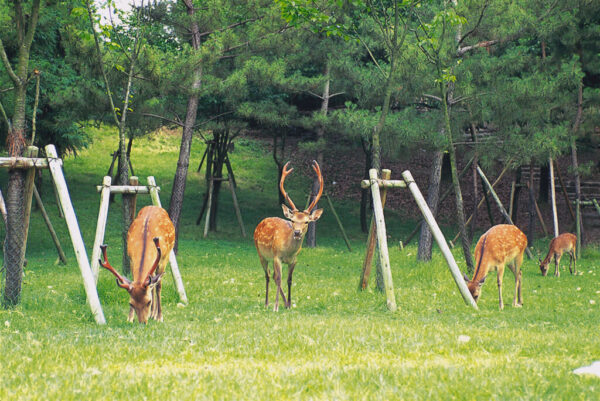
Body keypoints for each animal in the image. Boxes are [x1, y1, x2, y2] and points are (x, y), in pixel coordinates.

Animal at [253, 161, 324, 310]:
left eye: (307, 221)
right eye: (292, 220)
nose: (297, 232)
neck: (288, 251)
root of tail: (261, 221)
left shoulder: (294, 260)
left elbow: (289, 280)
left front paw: (290, 305)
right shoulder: (277, 257)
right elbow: (279, 279)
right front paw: (276, 307)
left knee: (273, 275)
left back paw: (284, 303)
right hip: (261, 253)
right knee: (268, 275)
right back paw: (267, 303)